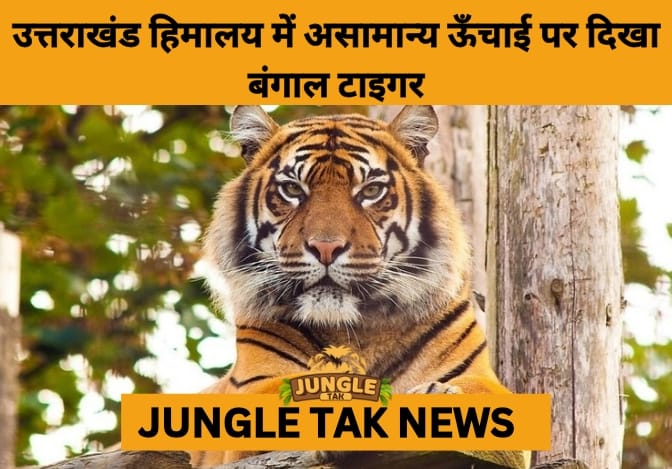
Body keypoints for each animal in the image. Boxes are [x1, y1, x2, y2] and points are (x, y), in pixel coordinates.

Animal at [192, 105, 529, 468]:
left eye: (370, 191)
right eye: (293, 190)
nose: (326, 247)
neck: (356, 329)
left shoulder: (483, 381)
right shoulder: (255, 390)